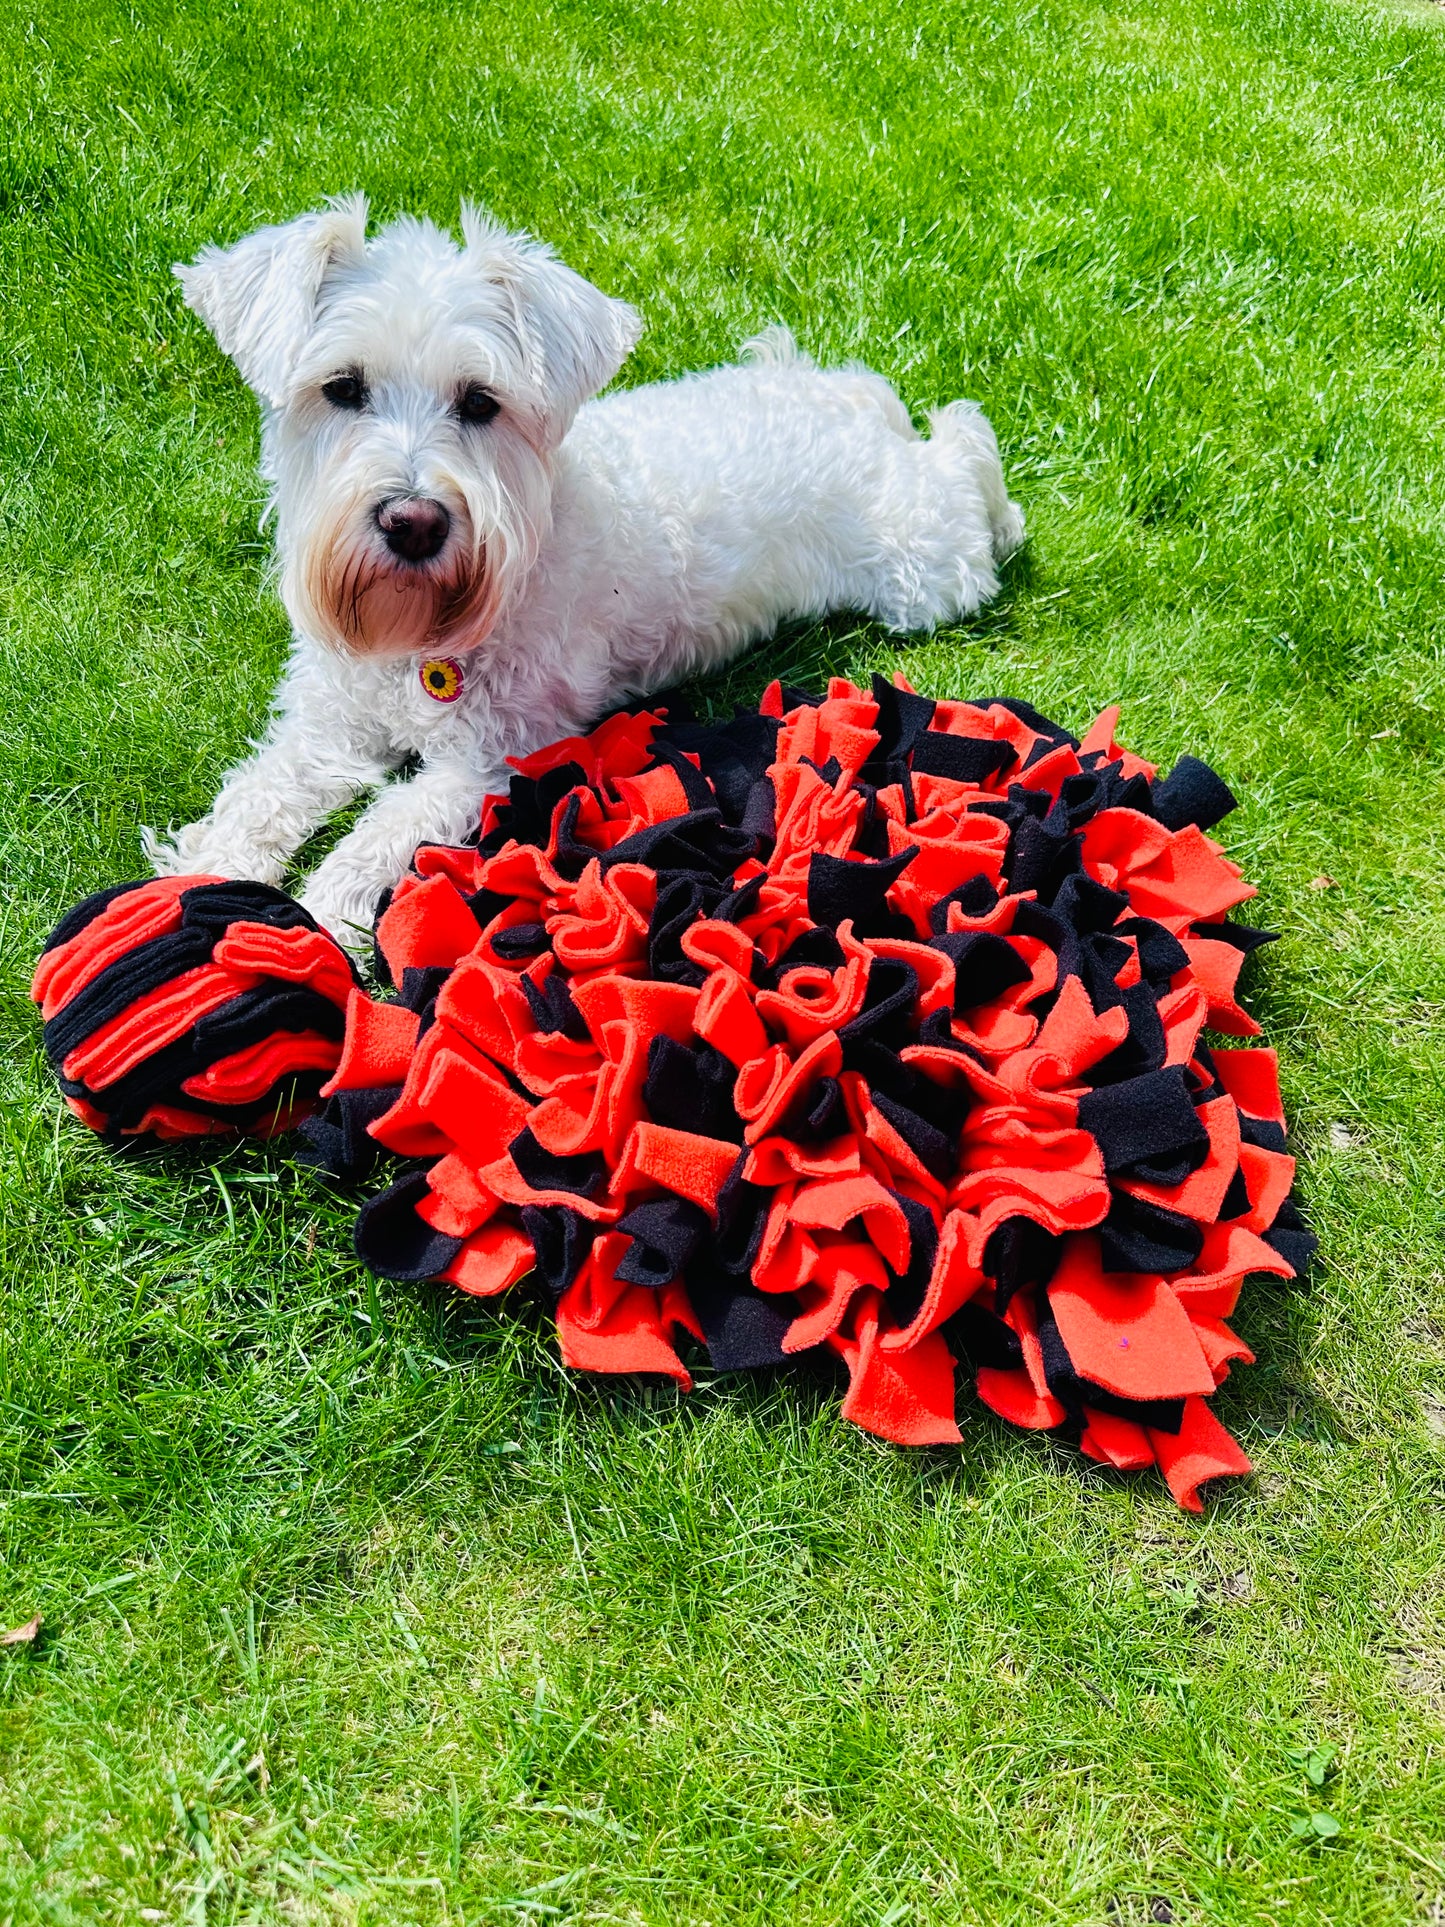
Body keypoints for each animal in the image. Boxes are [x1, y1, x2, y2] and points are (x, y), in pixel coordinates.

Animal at [147, 195, 1024, 948]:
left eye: (480, 401)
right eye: (342, 387)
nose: (412, 521)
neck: (419, 631)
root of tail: (855, 407)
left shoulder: (491, 758)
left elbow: (384, 828)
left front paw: (319, 916)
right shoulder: (330, 725)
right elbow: (259, 793)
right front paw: (199, 879)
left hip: (921, 565)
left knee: (963, 450)